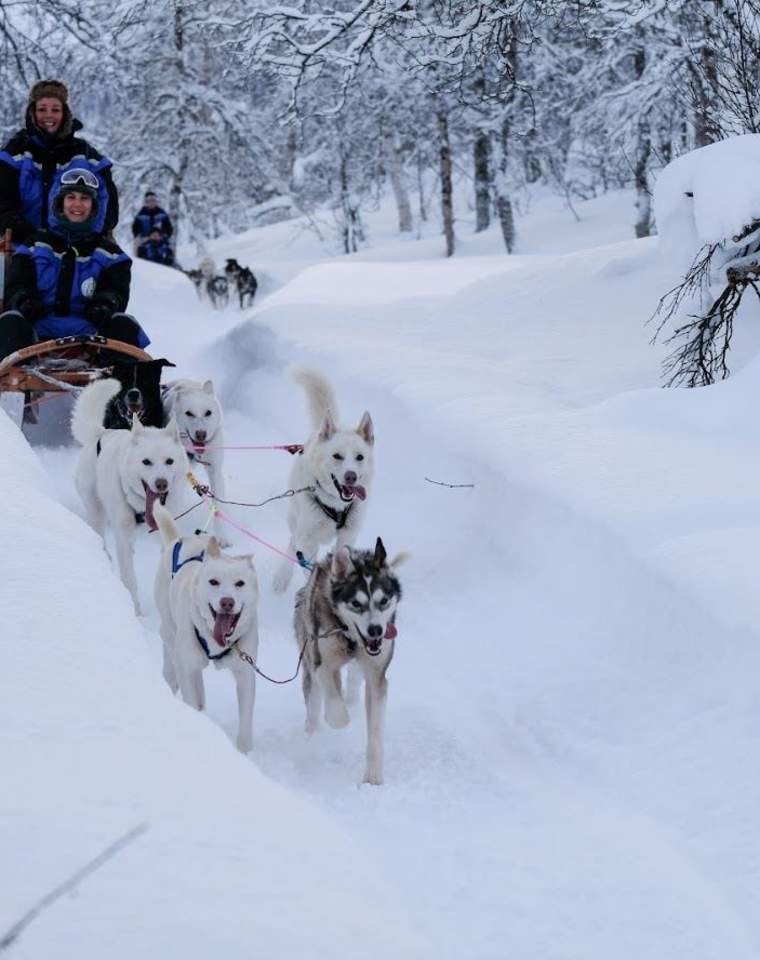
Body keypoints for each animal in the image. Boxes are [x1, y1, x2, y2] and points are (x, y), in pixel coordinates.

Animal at [72, 376, 189, 616]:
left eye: (169, 461)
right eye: (146, 462)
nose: (161, 484)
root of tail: (101, 433)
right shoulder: (123, 536)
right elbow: (129, 577)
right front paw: (135, 611)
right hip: (96, 510)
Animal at [154, 506, 262, 752]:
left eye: (240, 583)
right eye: (213, 582)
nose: (227, 602)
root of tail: (177, 540)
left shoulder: (245, 673)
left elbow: (246, 722)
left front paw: (244, 751)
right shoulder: (187, 666)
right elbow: (189, 695)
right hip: (171, 631)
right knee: (172, 655)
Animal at [274, 368, 374, 592]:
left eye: (360, 457)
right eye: (337, 456)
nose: (351, 476)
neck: (336, 506)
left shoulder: (347, 537)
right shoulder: (307, 540)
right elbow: (309, 567)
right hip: (296, 519)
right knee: (292, 541)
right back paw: (282, 577)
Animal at [296, 540, 404, 788]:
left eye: (383, 601)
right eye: (356, 603)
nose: (376, 630)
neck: (350, 639)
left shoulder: (377, 677)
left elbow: (375, 732)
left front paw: (373, 776)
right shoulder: (321, 663)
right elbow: (336, 710)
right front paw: (337, 720)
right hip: (310, 666)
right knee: (314, 708)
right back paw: (312, 737)